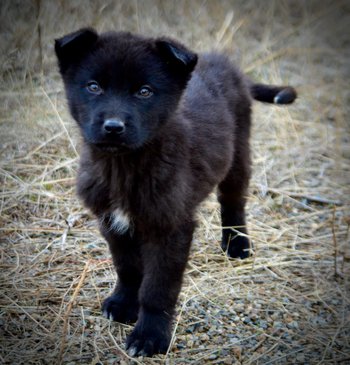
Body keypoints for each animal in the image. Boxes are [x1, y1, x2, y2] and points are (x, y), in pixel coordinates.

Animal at [54, 29, 296, 356]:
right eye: (93, 87)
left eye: (144, 92)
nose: (113, 127)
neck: (124, 166)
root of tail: (229, 66)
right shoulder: (111, 222)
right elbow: (127, 268)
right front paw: (123, 304)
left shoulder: (170, 228)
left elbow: (158, 288)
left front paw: (150, 336)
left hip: (238, 154)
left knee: (233, 202)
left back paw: (237, 244)